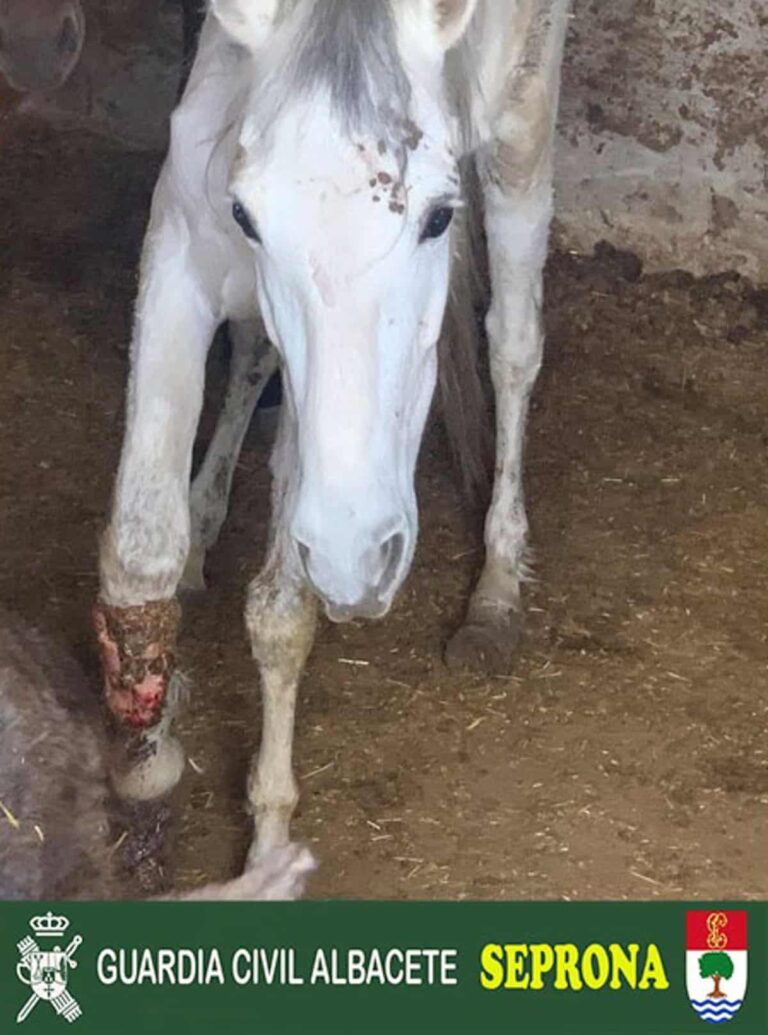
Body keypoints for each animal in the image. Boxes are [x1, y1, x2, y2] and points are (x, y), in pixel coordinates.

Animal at [94, 0, 571, 863]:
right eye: (246, 216)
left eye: (440, 217)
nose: (357, 561)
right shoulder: (184, 242)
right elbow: (141, 550)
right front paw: (146, 766)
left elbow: (281, 610)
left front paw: (269, 836)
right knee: (253, 355)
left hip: (523, 138)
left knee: (514, 346)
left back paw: (494, 594)